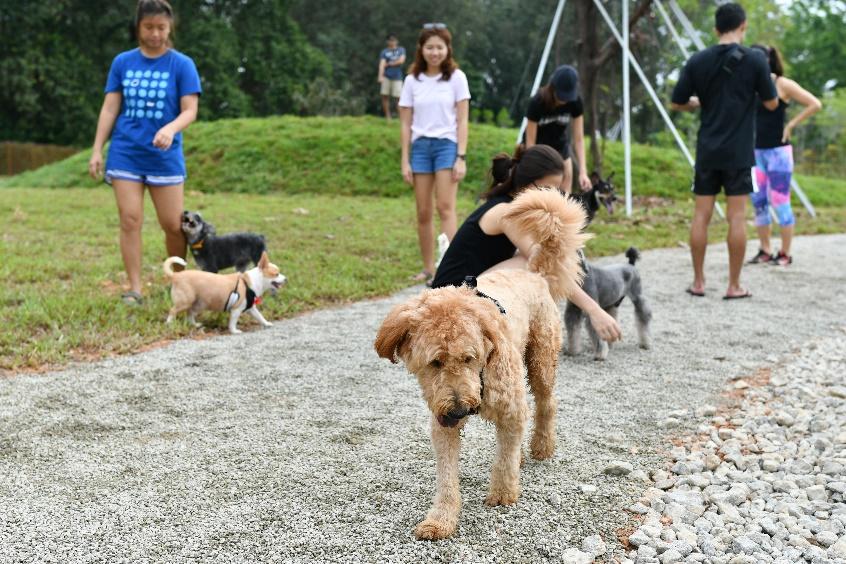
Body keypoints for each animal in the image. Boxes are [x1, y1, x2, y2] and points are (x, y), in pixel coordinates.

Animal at [378, 187, 588, 540]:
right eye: (434, 362)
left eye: (469, 357)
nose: (460, 411)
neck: (481, 375)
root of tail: (533, 272)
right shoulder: (442, 424)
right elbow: (447, 477)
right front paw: (441, 519)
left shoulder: (511, 407)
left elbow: (503, 459)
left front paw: (503, 493)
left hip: (541, 360)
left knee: (546, 404)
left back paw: (541, 446)